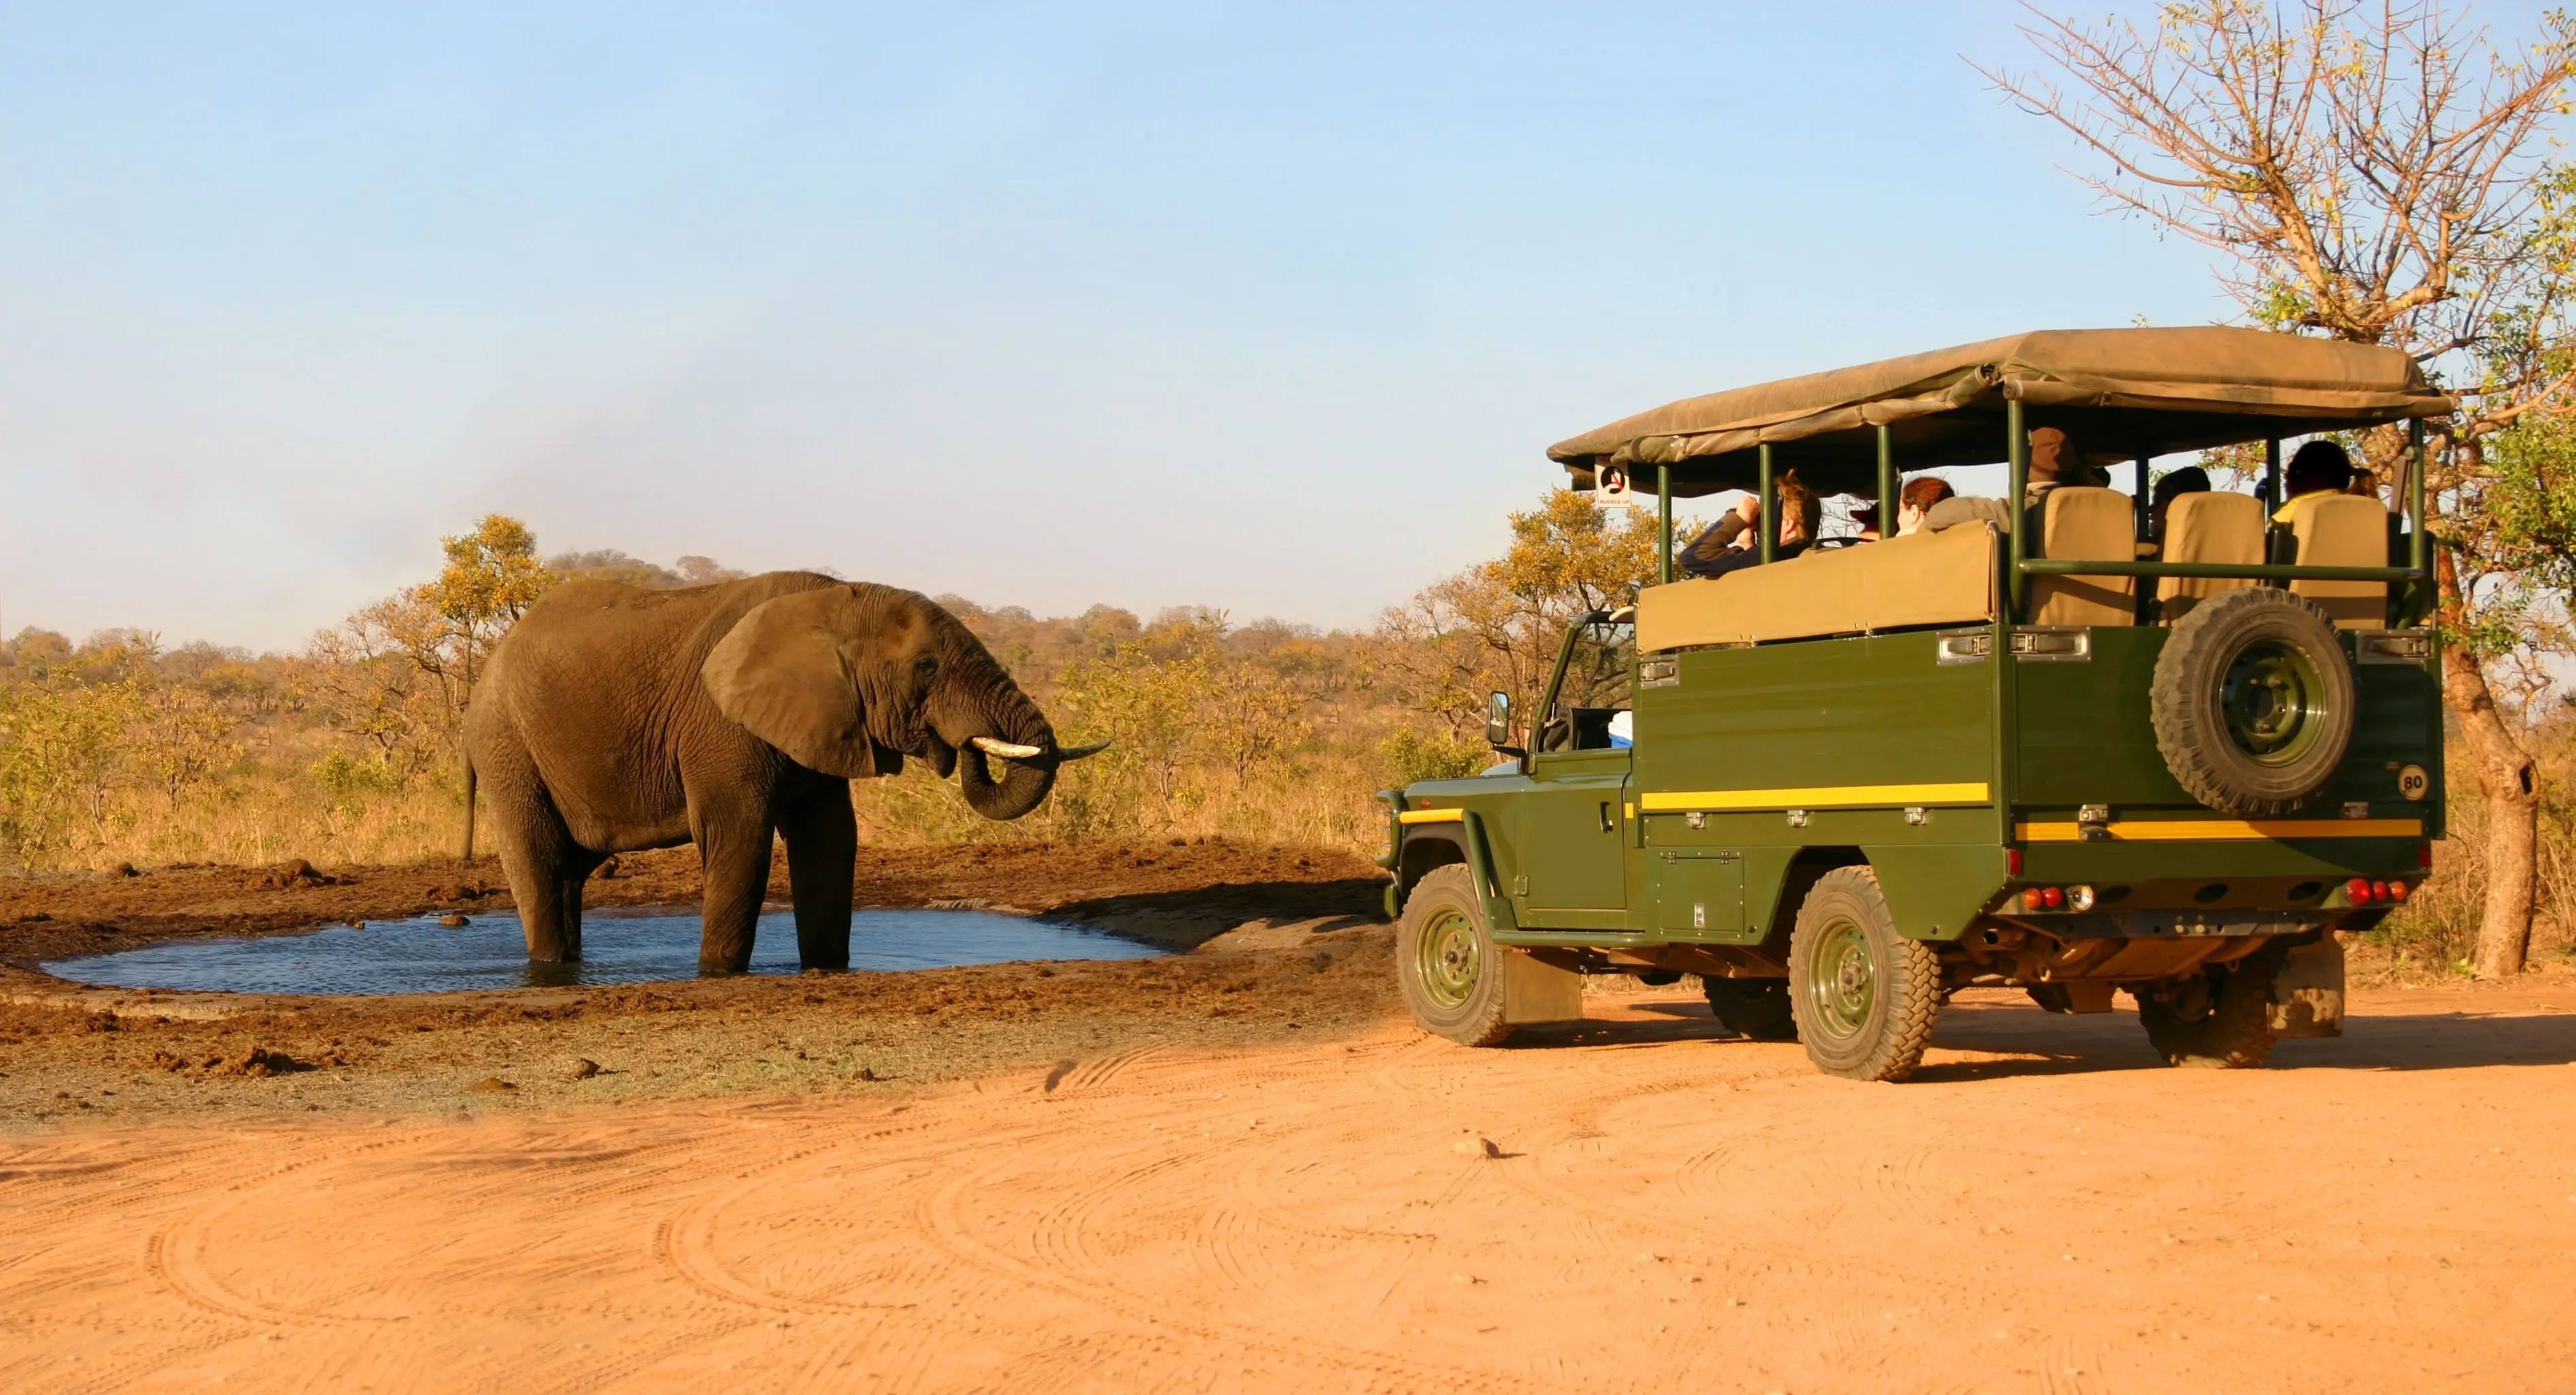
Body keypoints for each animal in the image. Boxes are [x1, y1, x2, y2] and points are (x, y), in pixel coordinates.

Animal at [461, 572, 1102, 972]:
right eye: (926, 667)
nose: (958, 745)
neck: (837, 602)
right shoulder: (720, 722)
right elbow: (740, 836)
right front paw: (719, 972)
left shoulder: (824, 719)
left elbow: (830, 840)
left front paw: (826, 967)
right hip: (506, 747)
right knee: (541, 865)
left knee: (570, 872)